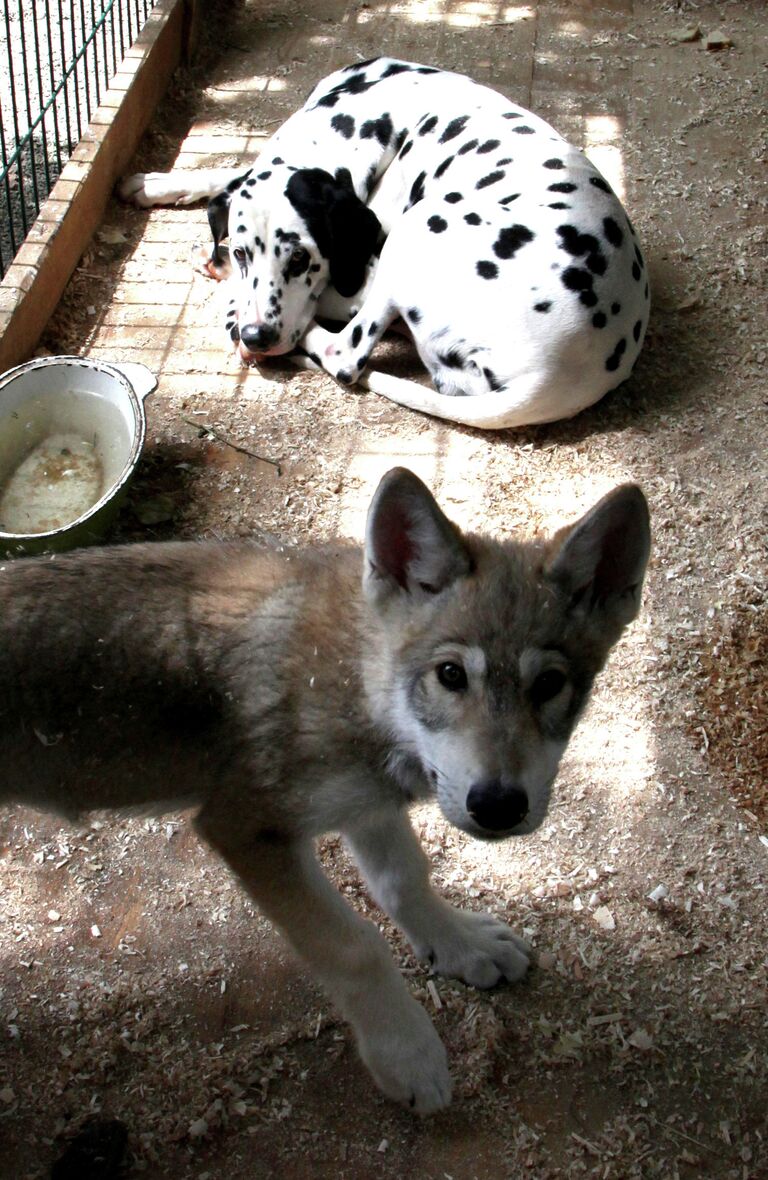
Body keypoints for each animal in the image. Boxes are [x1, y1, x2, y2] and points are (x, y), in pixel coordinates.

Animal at [120, 58, 651, 429]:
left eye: (301, 259)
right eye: (242, 250)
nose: (257, 335)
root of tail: (559, 376)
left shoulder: (367, 261)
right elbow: (226, 173)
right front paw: (156, 184)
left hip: (419, 227)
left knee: (344, 353)